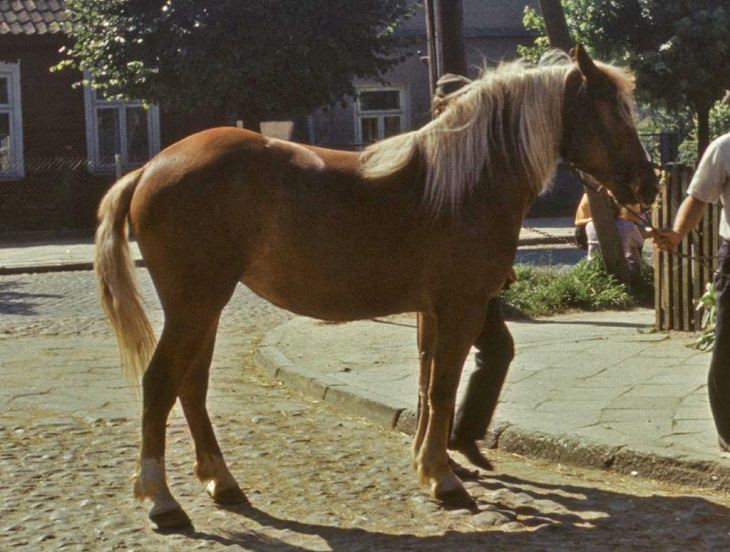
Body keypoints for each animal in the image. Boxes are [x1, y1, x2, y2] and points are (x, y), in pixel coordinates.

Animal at [95, 48, 656, 532]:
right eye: (614, 113)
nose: (648, 185)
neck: (466, 180)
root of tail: (150, 167)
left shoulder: (432, 311)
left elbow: (429, 385)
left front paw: (430, 464)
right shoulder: (462, 307)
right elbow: (444, 387)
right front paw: (445, 479)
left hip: (205, 306)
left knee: (191, 384)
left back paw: (221, 480)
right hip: (195, 303)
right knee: (161, 382)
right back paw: (162, 500)